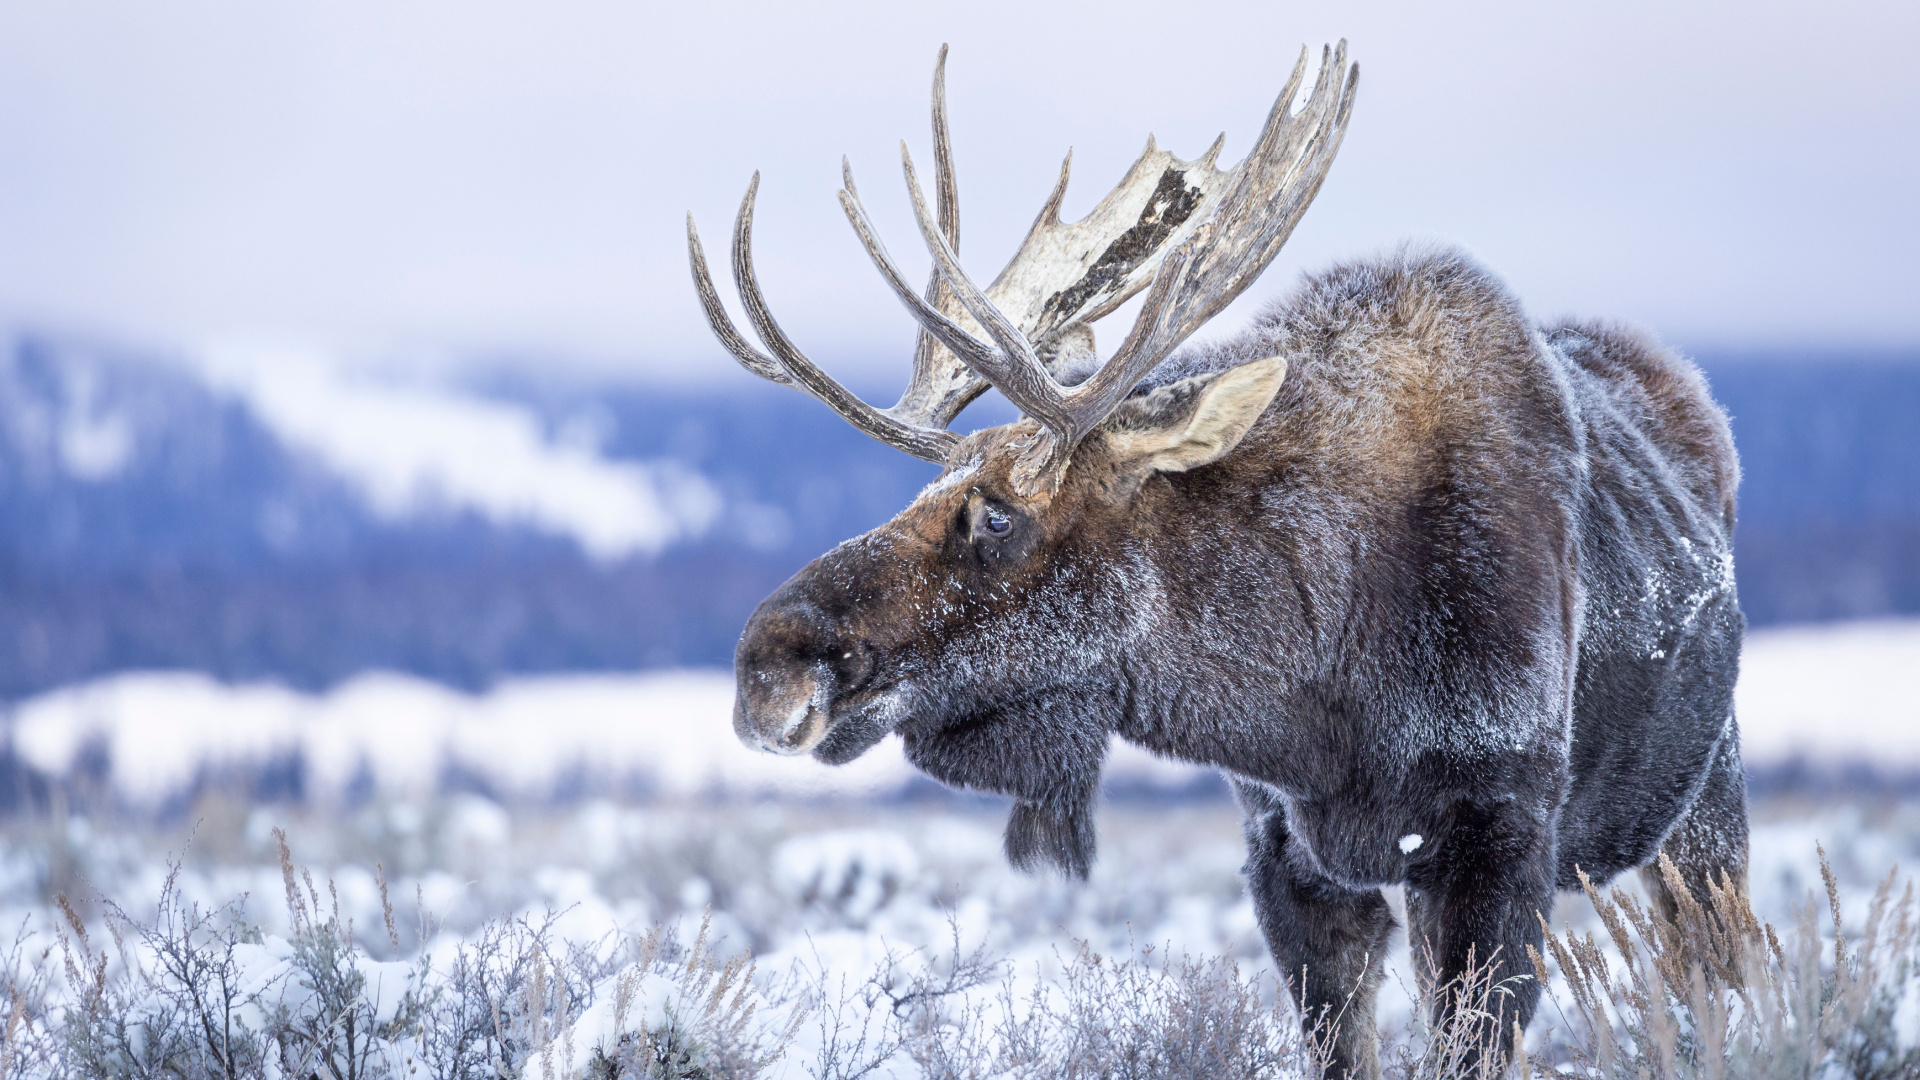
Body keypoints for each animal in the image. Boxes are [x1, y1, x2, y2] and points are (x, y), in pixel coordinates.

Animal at [688, 43, 1748, 1077]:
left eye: (996, 518)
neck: (1315, 693)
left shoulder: (1497, 834)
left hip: (1705, 805)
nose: (765, 668)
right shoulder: (1286, 854)